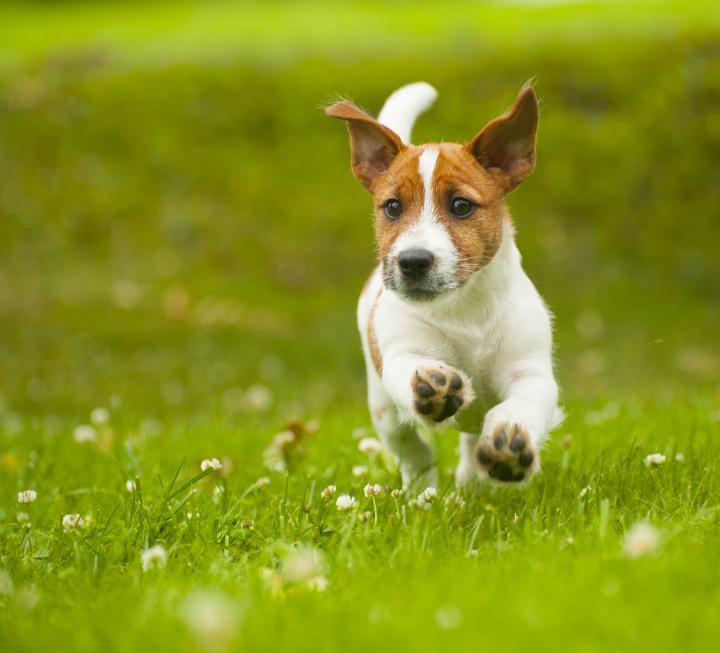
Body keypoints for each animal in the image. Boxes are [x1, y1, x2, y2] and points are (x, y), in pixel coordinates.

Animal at [326, 81, 564, 486]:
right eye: (392, 207)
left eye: (461, 206)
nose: (413, 261)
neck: (464, 307)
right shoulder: (401, 352)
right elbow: (414, 368)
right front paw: (434, 387)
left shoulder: (530, 373)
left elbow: (521, 404)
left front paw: (509, 445)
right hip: (382, 408)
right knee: (412, 450)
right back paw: (422, 489)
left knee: (470, 445)